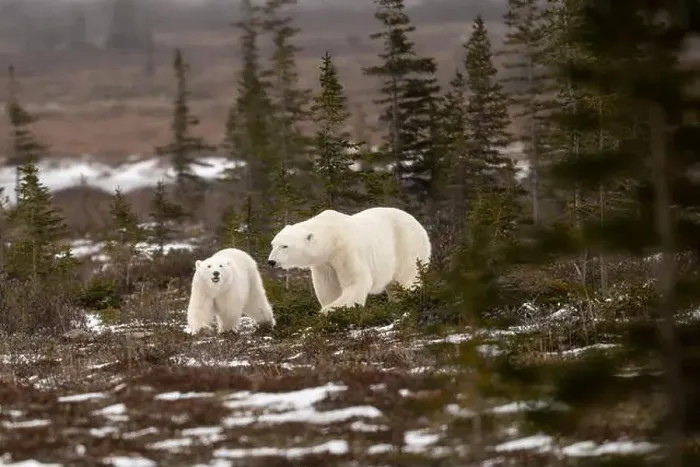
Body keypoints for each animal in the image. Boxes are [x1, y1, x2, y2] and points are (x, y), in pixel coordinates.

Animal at [266, 207, 431, 315]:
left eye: (285, 246)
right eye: (273, 244)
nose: (271, 261)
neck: (330, 237)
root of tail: (419, 225)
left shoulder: (345, 250)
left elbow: (356, 281)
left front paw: (329, 310)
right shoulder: (324, 263)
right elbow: (328, 286)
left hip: (407, 245)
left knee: (405, 278)